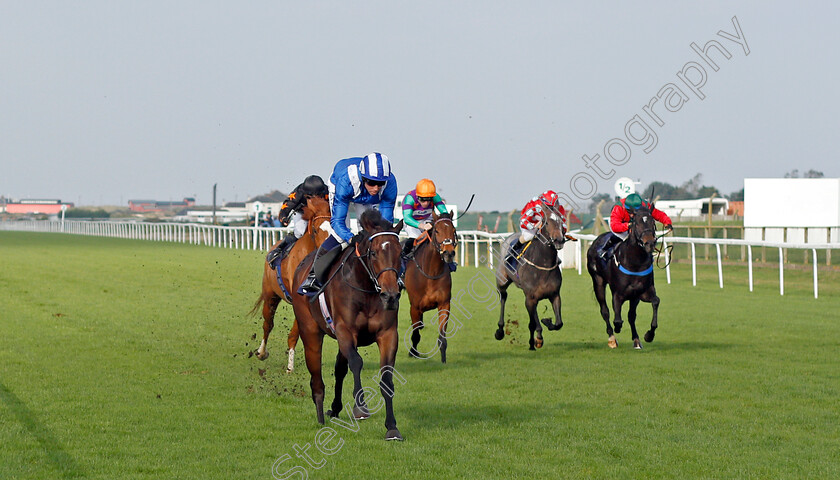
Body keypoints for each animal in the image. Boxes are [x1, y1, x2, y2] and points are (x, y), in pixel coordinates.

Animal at [248, 194, 330, 368]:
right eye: (315, 229)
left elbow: (297, 332)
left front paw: (291, 362)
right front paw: (290, 365)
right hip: (270, 295)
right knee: (268, 324)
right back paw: (261, 352)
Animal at [290, 210, 406, 442]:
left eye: (400, 253)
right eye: (373, 253)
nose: (390, 296)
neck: (367, 290)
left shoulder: (388, 334)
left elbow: (386, 378)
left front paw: (392, 427)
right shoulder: (345, 331)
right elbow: (357, 362)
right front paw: (360, 408)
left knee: (339, 369)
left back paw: (334, 408)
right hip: (310, 331)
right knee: (317, 377)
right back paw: (320, 415)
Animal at [404, 212, 456, 362]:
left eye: (453, 230)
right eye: (437, 230)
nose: (448, 253)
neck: (431, 272)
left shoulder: (444, 304)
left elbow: (442, 336)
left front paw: (443, 359)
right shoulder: (415, 307)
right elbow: (415, 334)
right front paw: (413, 353)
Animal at [492, 202, 572, 348]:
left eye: (561, 221)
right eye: (547, 222)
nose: (559, 240)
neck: (543, 266)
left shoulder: (555, 295)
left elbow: (558, 323)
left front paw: (547, 321)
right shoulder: (530, 298)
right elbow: (537, 324)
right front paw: (538, 339)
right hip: (502, 280)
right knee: (503, 297)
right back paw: (500, 330)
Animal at [588, 203, 660, 348]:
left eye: (653, 222)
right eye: (637, 223)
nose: (649, 243)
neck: (635, 263)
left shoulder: (641, 292)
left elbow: (655, 301)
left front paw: (649, 335)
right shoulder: (618, 293)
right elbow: (617, 319)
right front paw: (617, 329)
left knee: (631, 315)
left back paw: (636, 340)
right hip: (598, 281)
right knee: (605, 311)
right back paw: (612, 338)